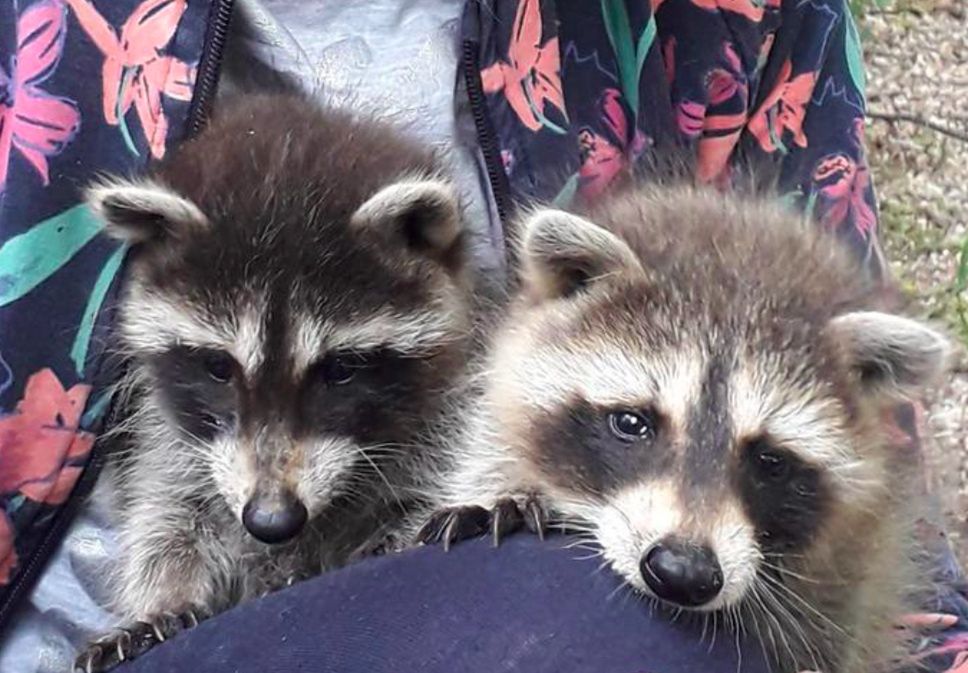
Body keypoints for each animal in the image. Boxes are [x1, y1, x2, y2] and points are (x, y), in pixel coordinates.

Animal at [73, 92, 474, 668]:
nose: (271, 520)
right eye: (219, 367)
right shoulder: (170, 438)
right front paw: (162, 600)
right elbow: (167, 515)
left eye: (340, 371)